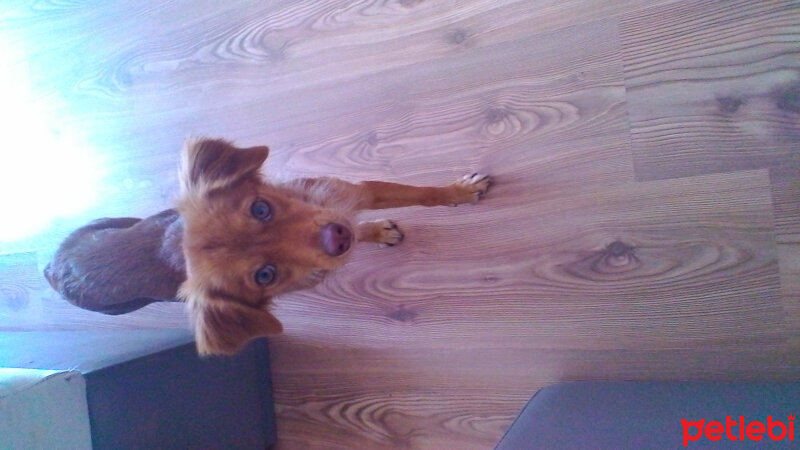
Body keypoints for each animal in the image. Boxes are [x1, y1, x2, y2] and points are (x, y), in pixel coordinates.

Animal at [47, 137, 494, 356]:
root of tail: (52, 269)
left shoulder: (355, 195)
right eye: (265, 275)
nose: (337, 237)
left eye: (260, 208)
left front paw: (456, 192)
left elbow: (423, 194)